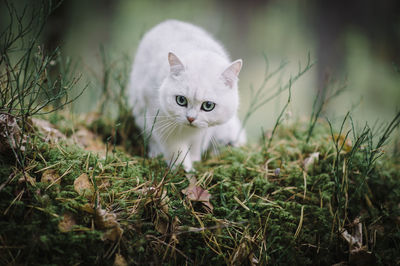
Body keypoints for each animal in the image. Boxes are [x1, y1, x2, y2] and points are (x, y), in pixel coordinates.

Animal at [130, 19, 245, 171]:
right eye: (181, 100)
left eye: (208, 106)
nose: (190, 118)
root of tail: (169, 22)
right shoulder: (159, 121)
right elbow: (175, 149)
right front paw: (182, 168)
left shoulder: (204, 131)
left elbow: (196, 147)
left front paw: (194, 162)